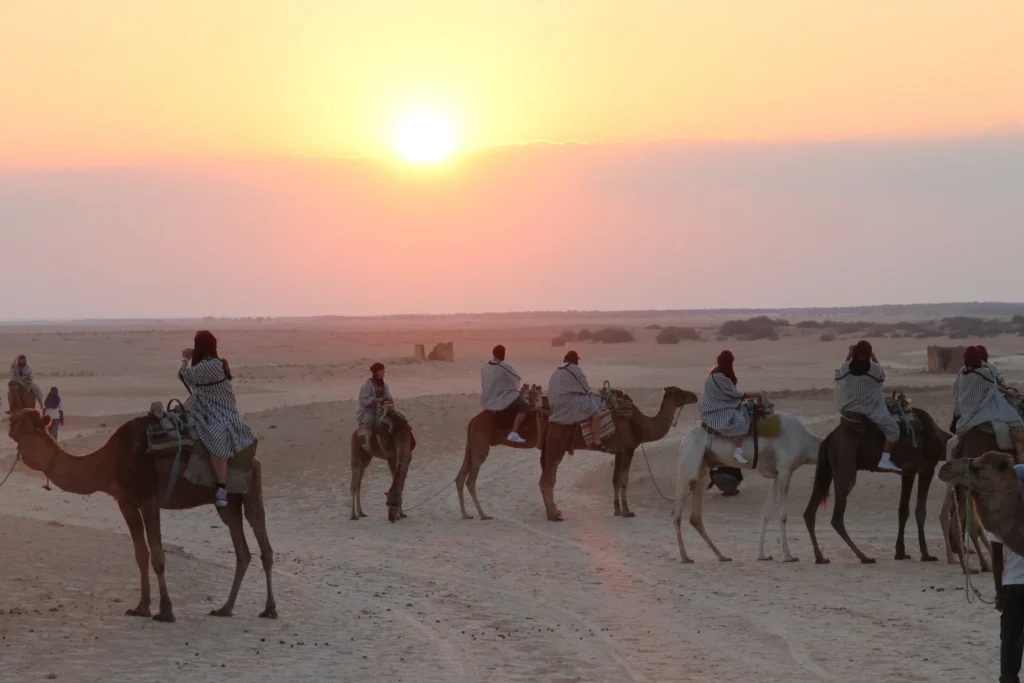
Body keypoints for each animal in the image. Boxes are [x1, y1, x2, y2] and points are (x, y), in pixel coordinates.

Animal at [6, 409, 276, 622]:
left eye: (23, 425)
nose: (8, 425)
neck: (109, 461)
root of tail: (254, 457)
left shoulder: (149, 500)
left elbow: (157, 555)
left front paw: (166, 611)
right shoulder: (125, 502)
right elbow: (140, 554)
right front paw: (141, 607)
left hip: (249, 486)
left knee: (263, 541)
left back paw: (269, 609)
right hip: (227, 504)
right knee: (242, 551)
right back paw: (225, 608)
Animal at [458, 382, 548, 520]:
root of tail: (473, 420)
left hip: (471, 444)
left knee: (460, 476)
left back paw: (466, 514)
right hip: (481, 442)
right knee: (470, 481)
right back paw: (483, 515)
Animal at [536, 385, 696, 524]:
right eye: (680, 393)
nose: (695, 396)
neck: (642, 425)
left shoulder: (619, 452)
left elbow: (615, 480)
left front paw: (617, 510)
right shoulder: (629, 449)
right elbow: (624, 481)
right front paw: (627, 511)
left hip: (550, 448)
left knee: (547, 478)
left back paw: (553, 513)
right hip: (556, 447)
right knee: (546, 480)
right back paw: (553, 515)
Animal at [671, 413, 823, 565]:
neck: (806, 442)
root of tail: (684, 441)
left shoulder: (777, 475)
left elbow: (766, 512)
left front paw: (762, 555)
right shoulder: (785, 469)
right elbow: (782, 514)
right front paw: (788, 556)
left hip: (703, 467)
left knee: (695, 516)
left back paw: (722, 556)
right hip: (690, 463)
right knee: (676, 511)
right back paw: (685, 557)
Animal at [802, 405, 946, 565]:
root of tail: (829, 439)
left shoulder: (908, 472)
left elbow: (903, 511)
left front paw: (901, 552)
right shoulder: (927, 467)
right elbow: (920, 511)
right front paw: (926, 555)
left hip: (824, 469)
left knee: (809, 512)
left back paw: (820, 557)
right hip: (844, 463)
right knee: (837, 517)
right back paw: (864, 556)